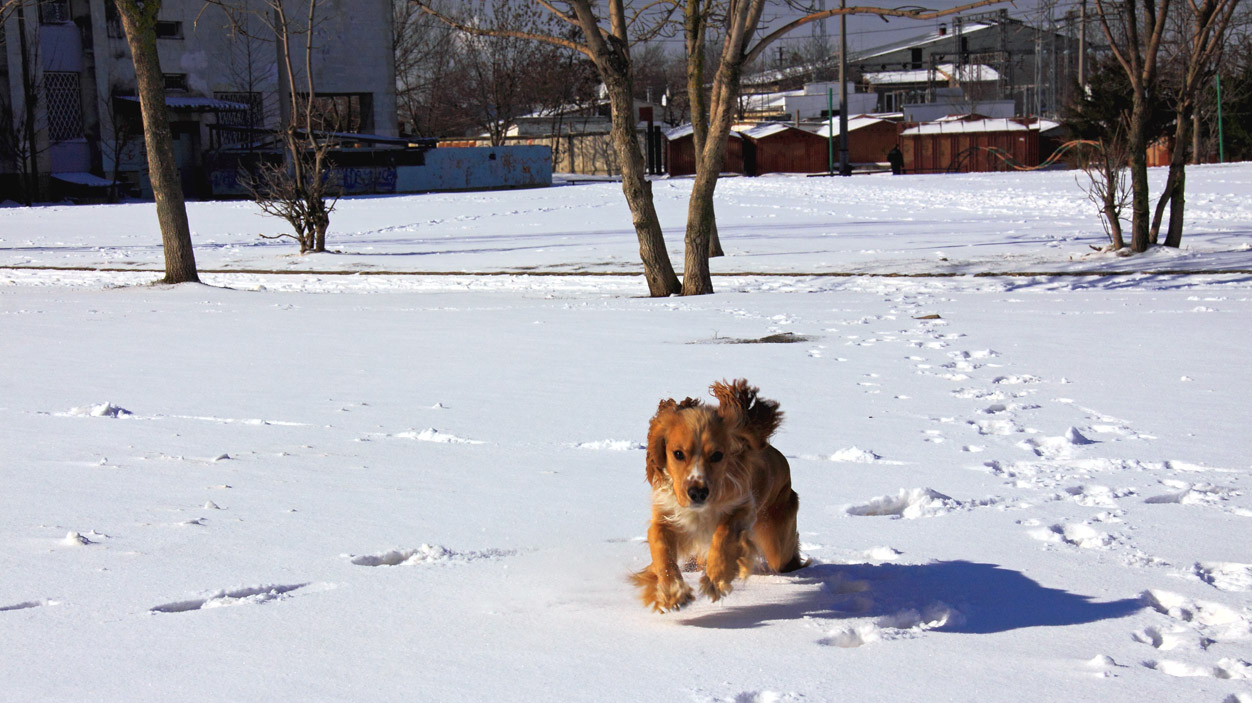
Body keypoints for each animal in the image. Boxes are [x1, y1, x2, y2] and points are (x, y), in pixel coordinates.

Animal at [631, 377, 806, 607]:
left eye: (717, 455)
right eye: (678, 453)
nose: (697, 493)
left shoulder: (742, 508)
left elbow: (724, 535)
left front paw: (715, 580)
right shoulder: (666, 515)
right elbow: (661, 547)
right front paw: (673, 592)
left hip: (776, 538)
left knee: (785, 553)